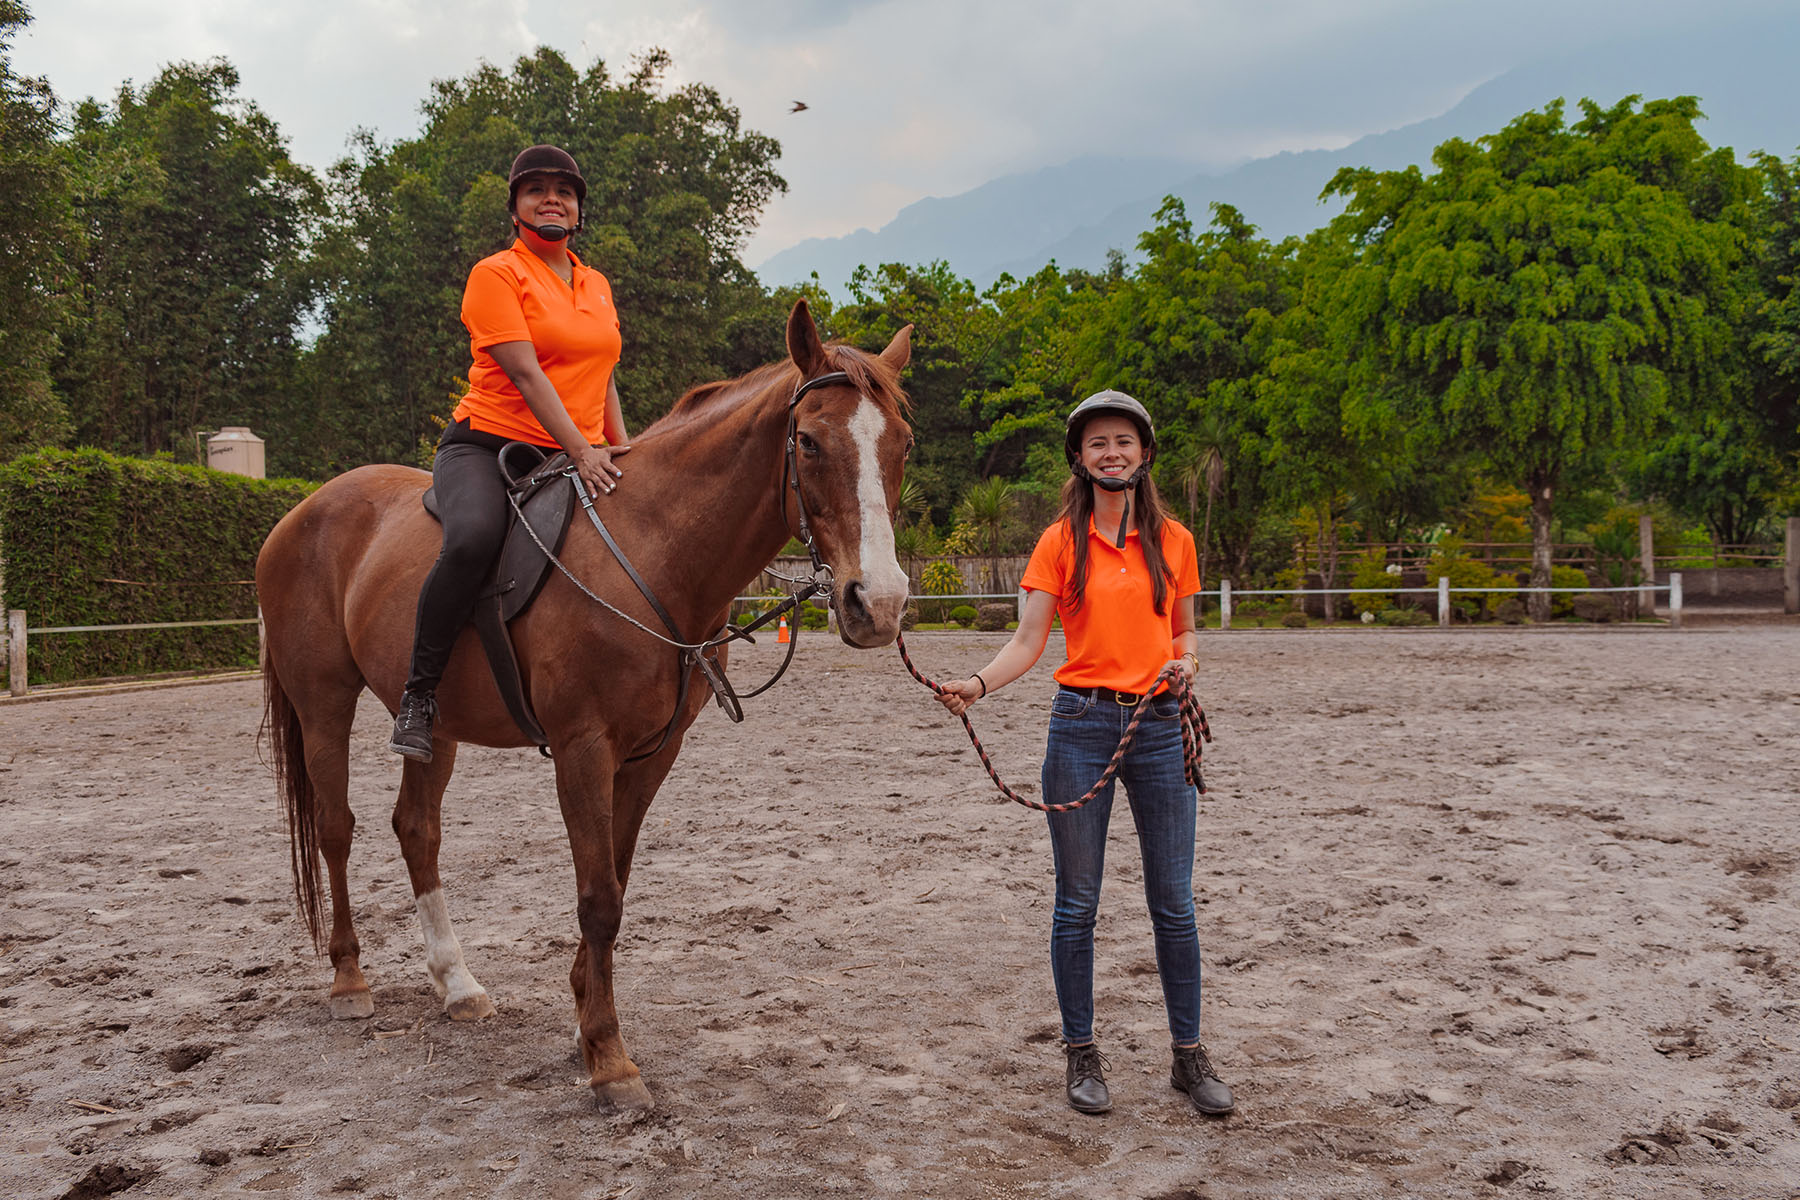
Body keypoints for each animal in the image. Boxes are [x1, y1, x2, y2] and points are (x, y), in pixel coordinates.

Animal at [253, 305, 914, 1115]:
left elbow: (615, 883)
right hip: (323, 703)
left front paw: (583, 1023)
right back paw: (349, 978)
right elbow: (598, 898)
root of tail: (302, 512)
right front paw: (609, 1058)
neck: (651, 548)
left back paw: (456, 984)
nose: (877, 603)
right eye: (811, 441)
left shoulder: (652, 753)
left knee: (417, 830)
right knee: (335, 829)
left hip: (435, 724)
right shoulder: (583, 748)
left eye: (902, 444)